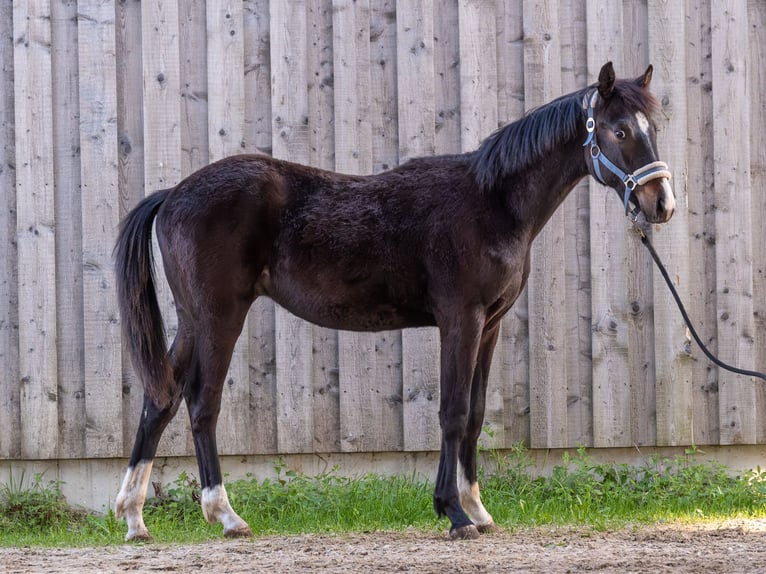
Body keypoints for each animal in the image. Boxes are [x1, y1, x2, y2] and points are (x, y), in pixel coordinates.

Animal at [114, 62, 674, 541]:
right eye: (619, 131)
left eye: (654, 127)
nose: (661, 204)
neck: (492, 201)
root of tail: (172, 194)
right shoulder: (461, 320)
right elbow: (452, 412)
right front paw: (453, 514)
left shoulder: (490, 325)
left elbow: (474, 415)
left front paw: (477, 509)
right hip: (218, 318)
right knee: (201, 403)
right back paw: (225, 515)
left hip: (191, 321)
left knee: (160, 400)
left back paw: (135, 519)